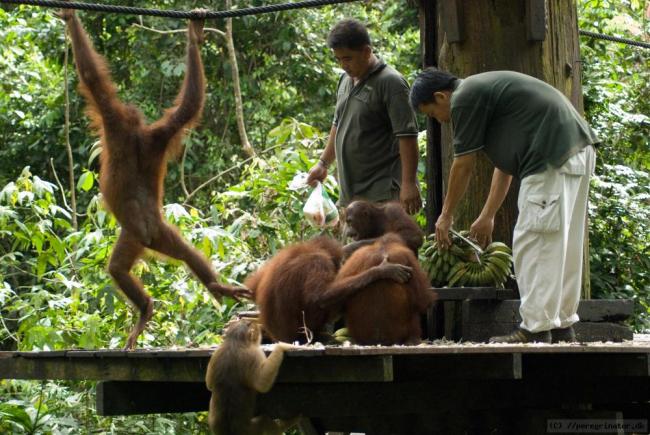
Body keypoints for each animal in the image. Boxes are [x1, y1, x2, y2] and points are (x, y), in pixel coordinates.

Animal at [58, 8, 250, 349]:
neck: (136, 134)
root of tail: (148, 230)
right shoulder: (160, 135)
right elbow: (188, 107)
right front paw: (194, 36)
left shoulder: (114, 121)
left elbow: (92, 78)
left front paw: (70, 17)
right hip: (161, 231)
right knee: (186, 251)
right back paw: (217, 287)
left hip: (133, 235)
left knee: (117, 268)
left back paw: (145, 308)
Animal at [246, 236, 413, 343]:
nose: (338, 266)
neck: (309, 249)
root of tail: (280, 338)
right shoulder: (319, 262)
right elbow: (321, 297)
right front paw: (381, 271)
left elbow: (252, 285)